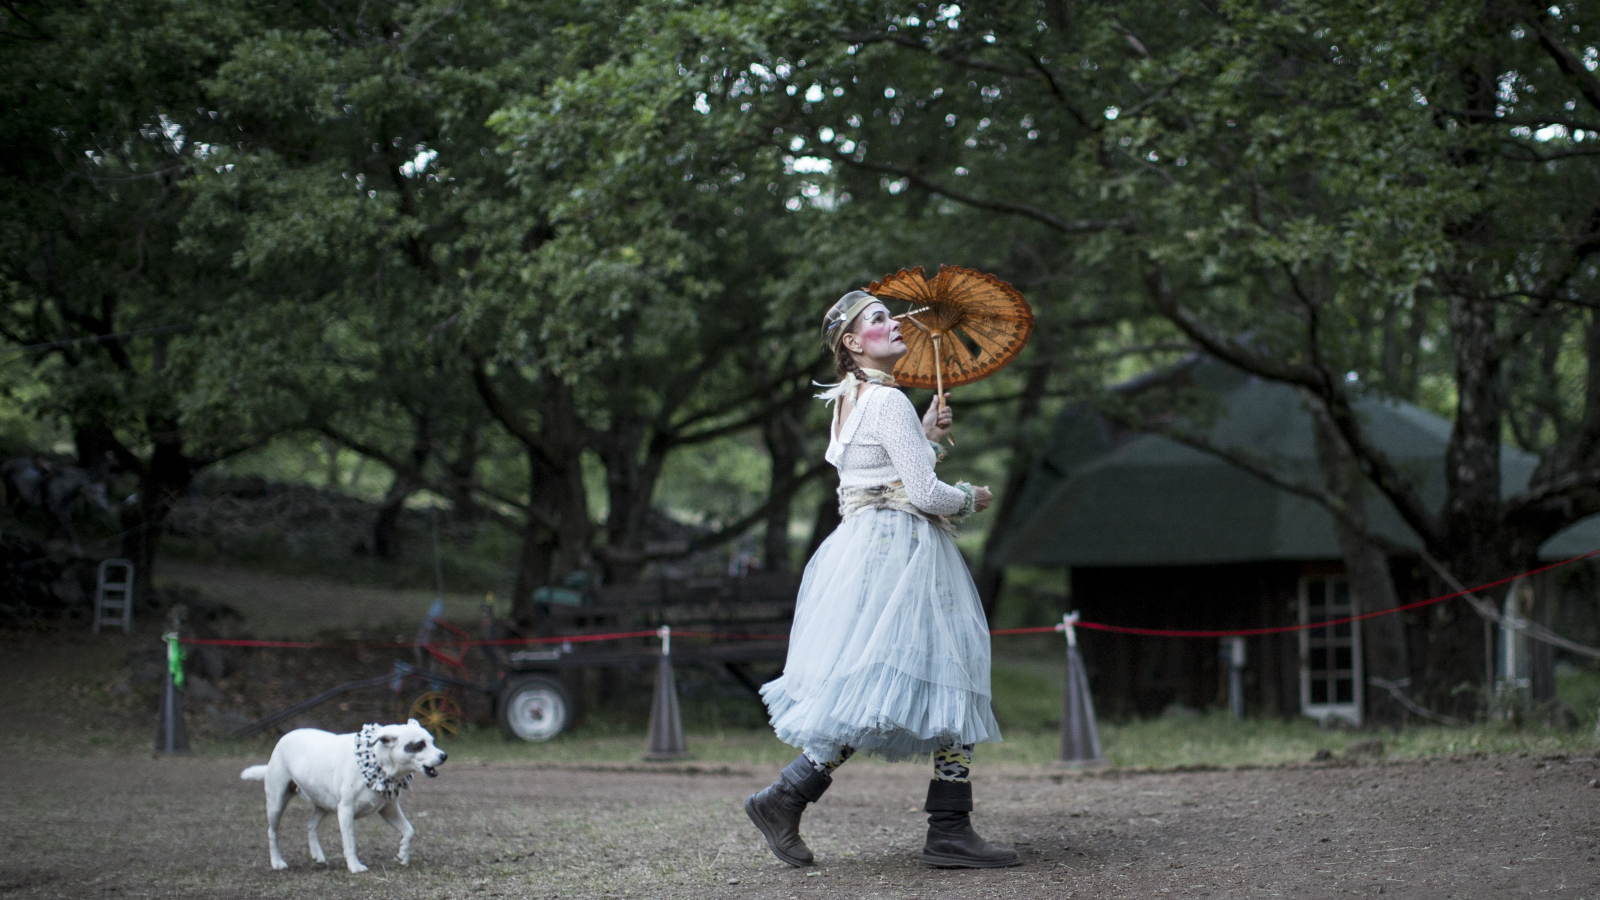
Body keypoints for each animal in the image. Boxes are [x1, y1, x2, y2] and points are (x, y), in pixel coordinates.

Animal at [240, 714, 448, 871]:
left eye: (432, 741)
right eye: (419, 744)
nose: (444, 755)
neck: (378, 762)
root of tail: (284, 737)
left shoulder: (388, 809)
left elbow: (409, 830)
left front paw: (403, 854)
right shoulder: (346, 811)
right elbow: (350, 843)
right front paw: (355, 866)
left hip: (323, 804)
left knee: (310, 825)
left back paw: (317, 854)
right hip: (277, 803)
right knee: (272, 832)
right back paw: (277, 862)